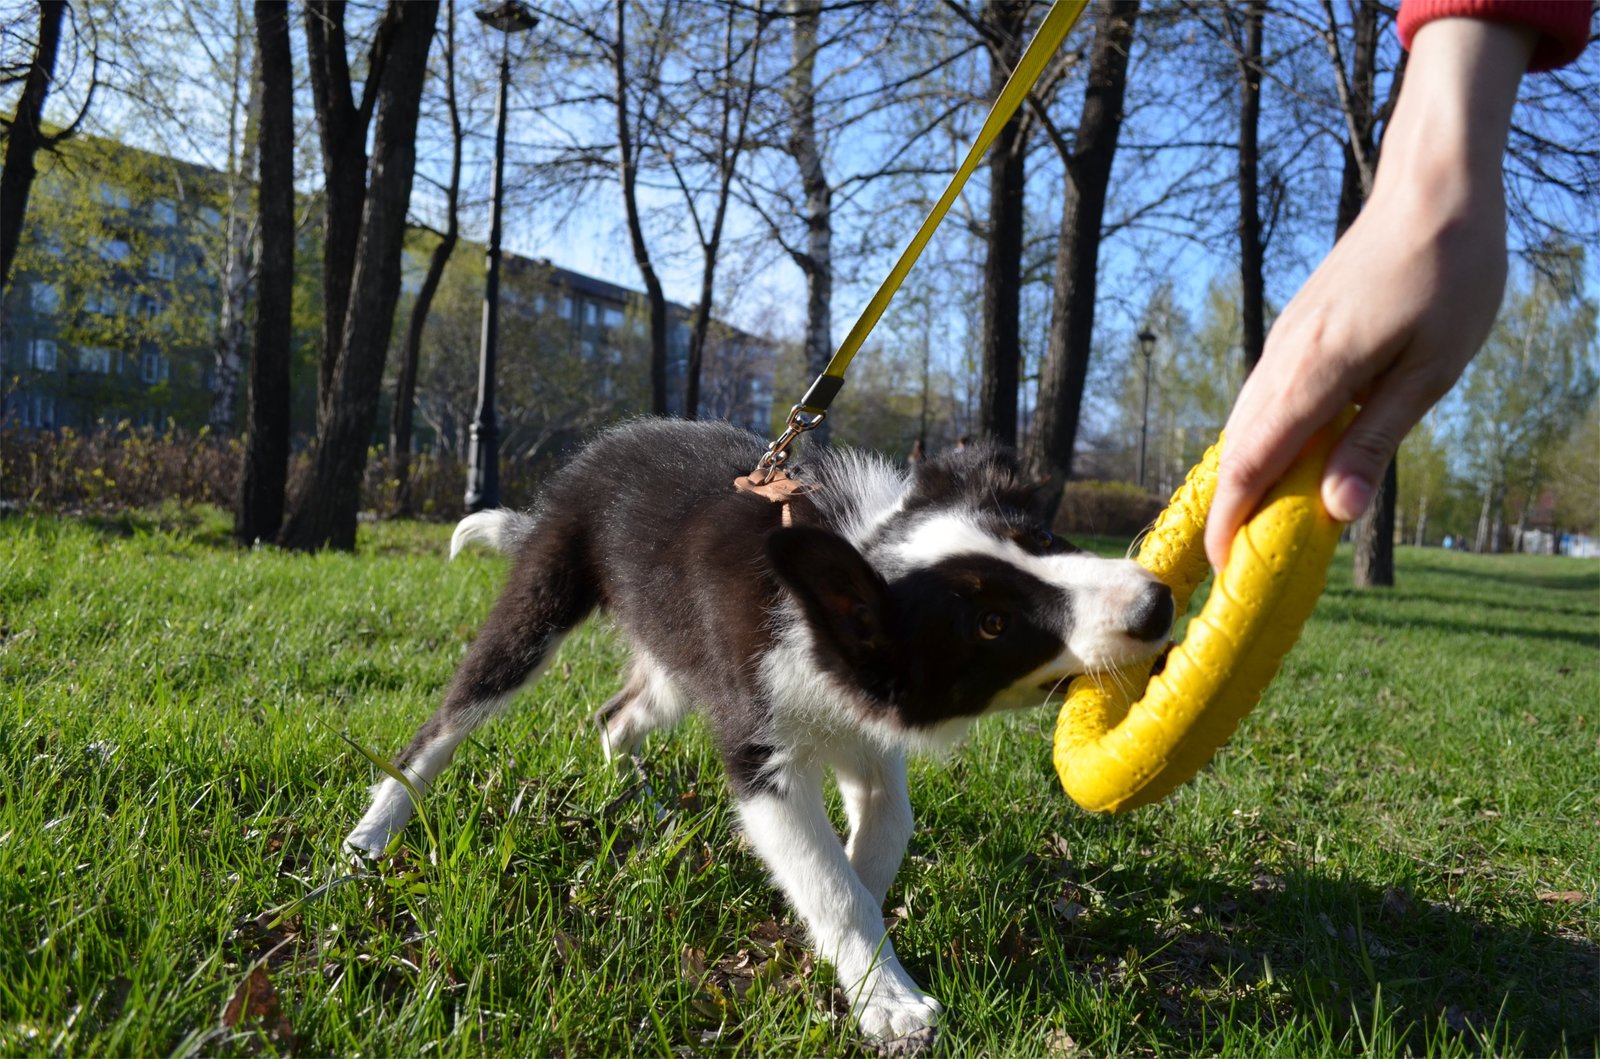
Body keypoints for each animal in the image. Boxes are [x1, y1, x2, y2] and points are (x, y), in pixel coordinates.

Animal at [347, 415, 1177, 1043]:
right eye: (992, 623)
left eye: (1042, 539)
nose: (1156, 602)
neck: (826, 610)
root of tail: (596, 453)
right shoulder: (761, 750)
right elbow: (829, 880)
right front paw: (887, 997)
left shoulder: (862, 729)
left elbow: (876, 839)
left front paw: (853, 960)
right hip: (545, 599)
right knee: (449, 719)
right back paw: (371, 836)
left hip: (679, 657)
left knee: (617, 716)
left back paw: (643, 806)